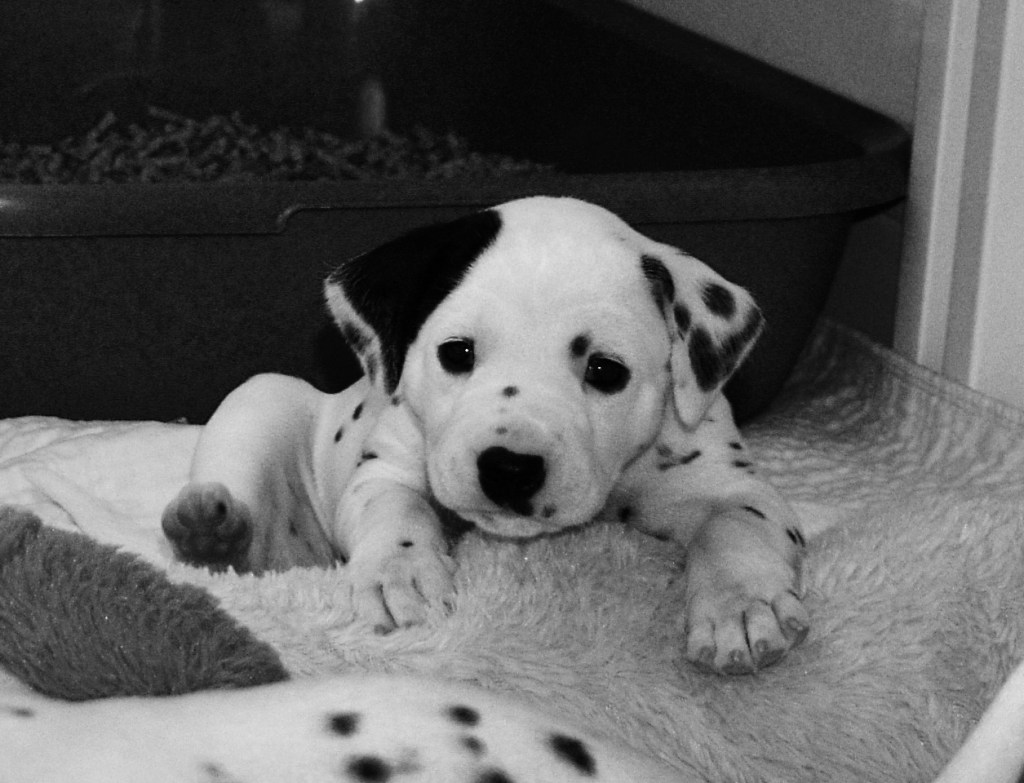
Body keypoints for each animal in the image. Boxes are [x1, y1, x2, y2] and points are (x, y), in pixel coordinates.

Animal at [162, 196, 809, 675]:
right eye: (457, 353)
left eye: (606, 370)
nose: (509, 468)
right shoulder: (386, 469)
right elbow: (396, 509)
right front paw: (400, 573)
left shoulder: (727, 483)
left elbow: (738, 524)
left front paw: (740, 605)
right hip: (259, 400)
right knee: (246, 553)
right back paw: (209, 527)